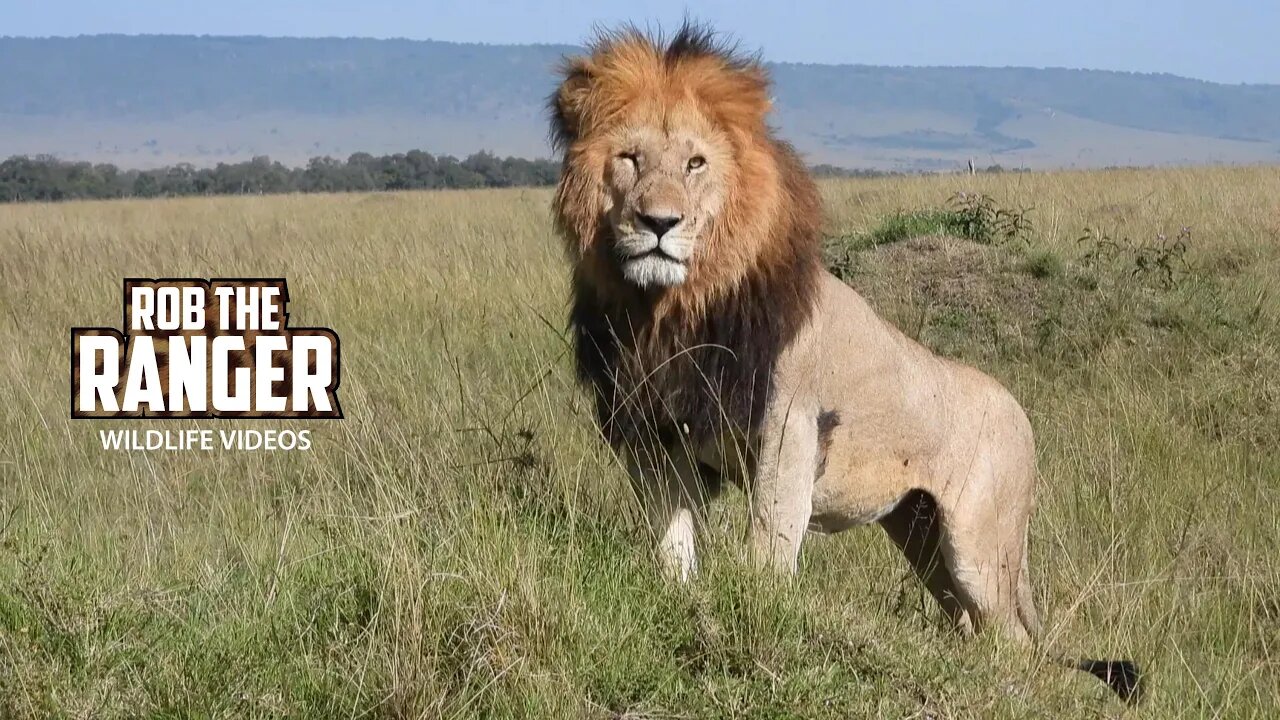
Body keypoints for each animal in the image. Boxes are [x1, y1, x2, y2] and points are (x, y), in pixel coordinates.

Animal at [547, 23, 1141, 702]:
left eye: (696, 163)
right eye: (630, 159)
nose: (658, 223)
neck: (675, 309)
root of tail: (1021, 411)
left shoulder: (788, 430)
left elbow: (769, 544)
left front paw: (756, 622)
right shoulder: (657, 432)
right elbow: (672, 541)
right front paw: (678, 599)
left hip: (979, 548)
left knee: (1010, 640)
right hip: (922, 536)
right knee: (967, 624)